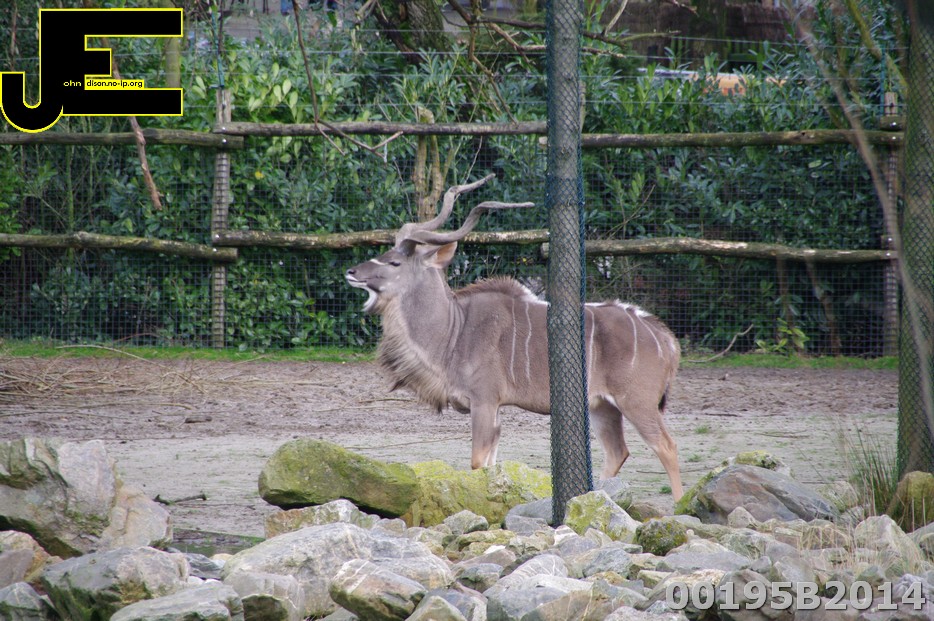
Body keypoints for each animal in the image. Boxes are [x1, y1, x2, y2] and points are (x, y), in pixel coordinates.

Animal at [345, 175, 683, 500]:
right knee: (618, 451)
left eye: (394, 263)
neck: (455, 329)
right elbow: (490, 463)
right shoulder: (495, 408)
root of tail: (666, 338)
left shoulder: (484, 401)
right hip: (602, 406)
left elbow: (477, 462)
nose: (351, 272)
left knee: (666, 446)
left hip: (636, 402)